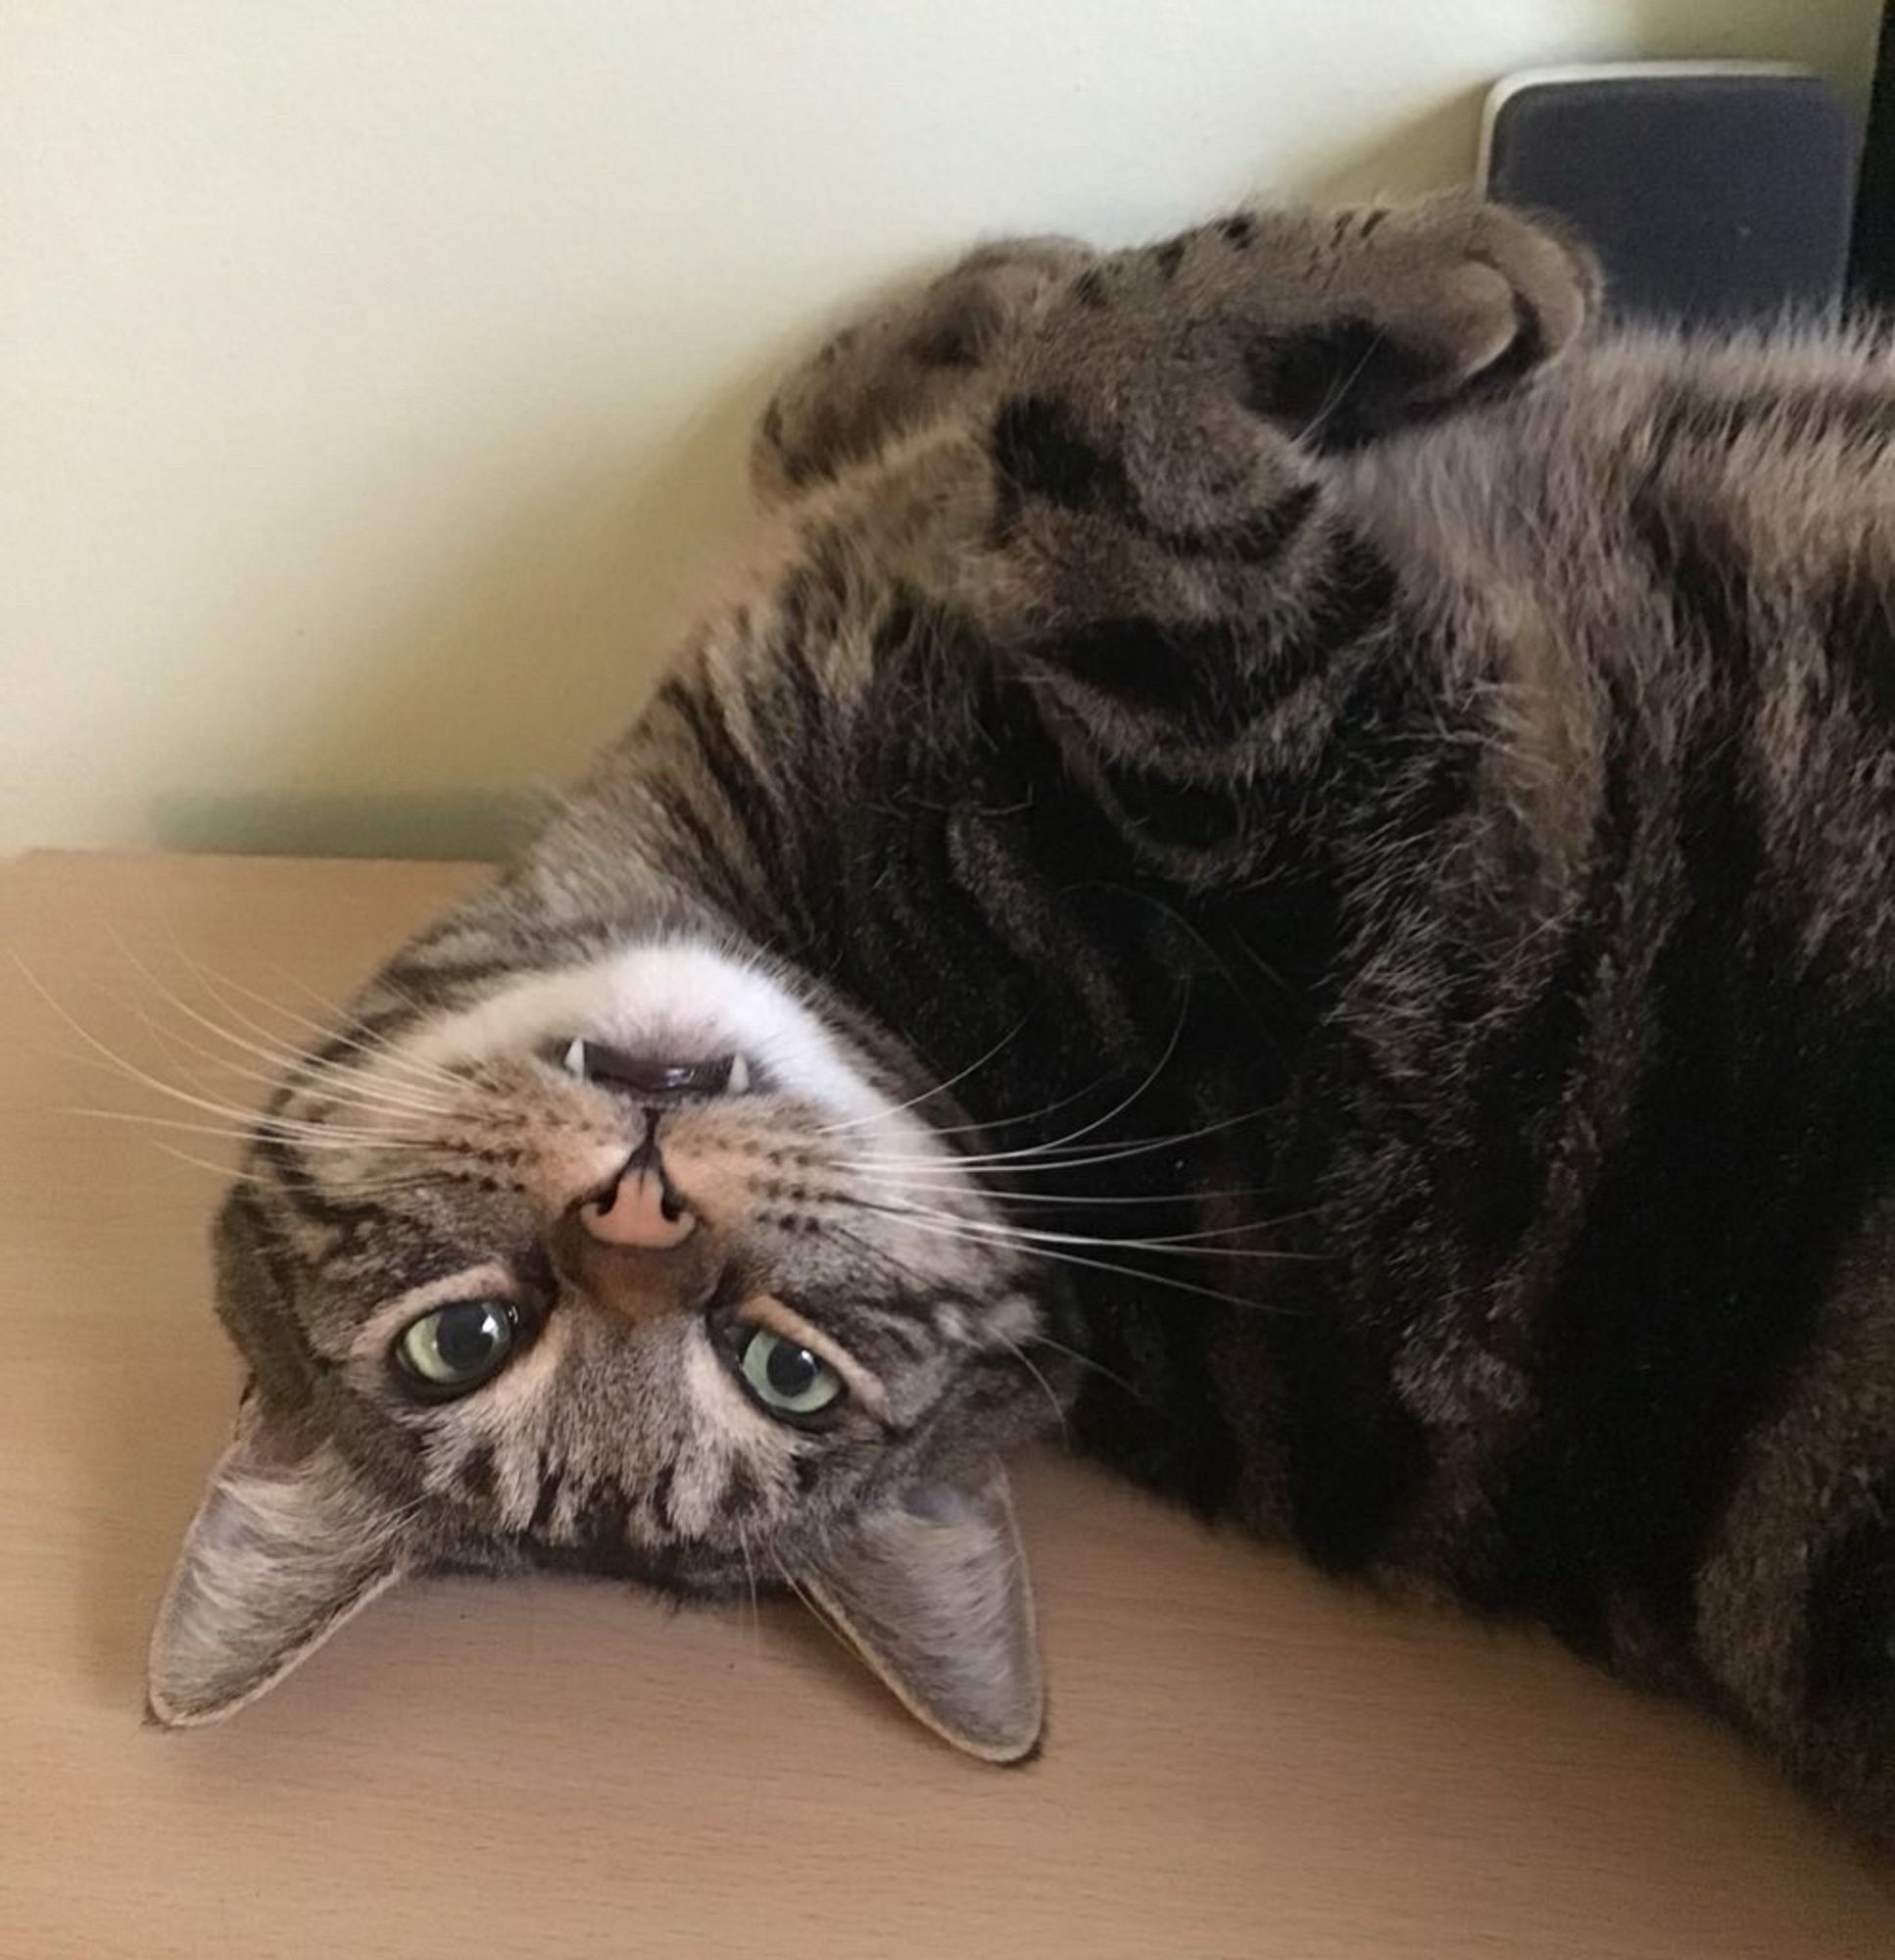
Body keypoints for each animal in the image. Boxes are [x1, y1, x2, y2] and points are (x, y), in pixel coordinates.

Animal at [152, 199, 1895, 1850]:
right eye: (466, 1342)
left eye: (779, 1369)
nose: (639, 1211)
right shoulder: (1287, 801)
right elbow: (1102, 410)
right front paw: (1445, 268)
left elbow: (873, 415)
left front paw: (959, 310)